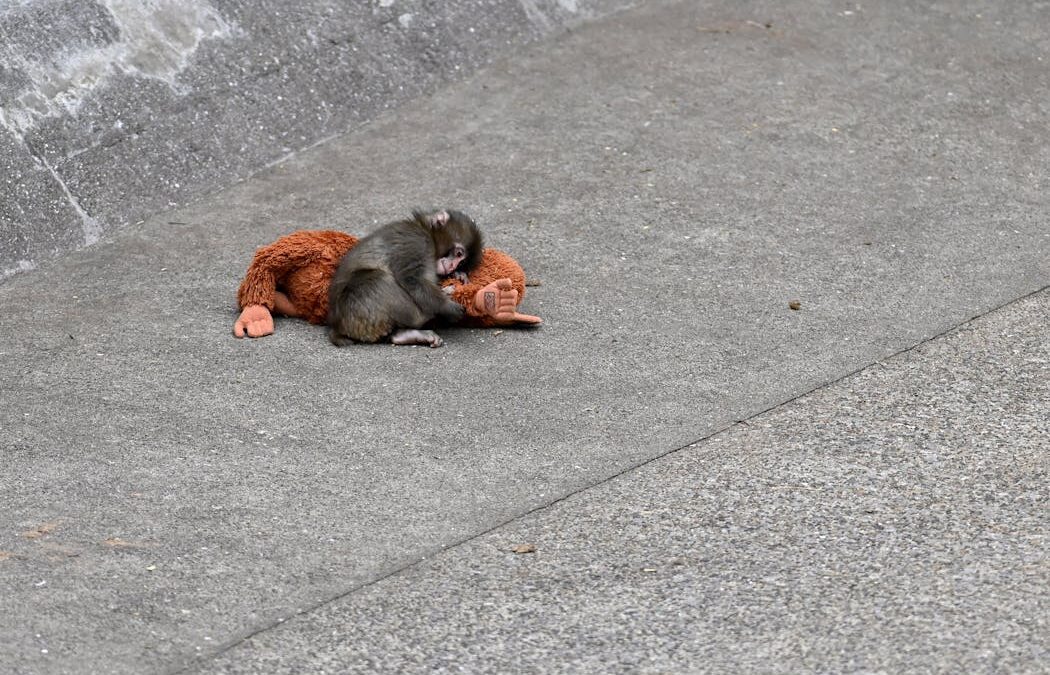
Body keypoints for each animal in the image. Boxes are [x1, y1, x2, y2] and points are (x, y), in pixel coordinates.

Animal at [327, 209, 483, 348]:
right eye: (458, 254)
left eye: (461, 263)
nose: (452, 267)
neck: (426, 231)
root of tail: (337, 326)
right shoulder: (416, 242)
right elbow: (411, 279)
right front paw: (447, 306)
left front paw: (459, 275)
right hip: (357, 309)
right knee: (378, 279)